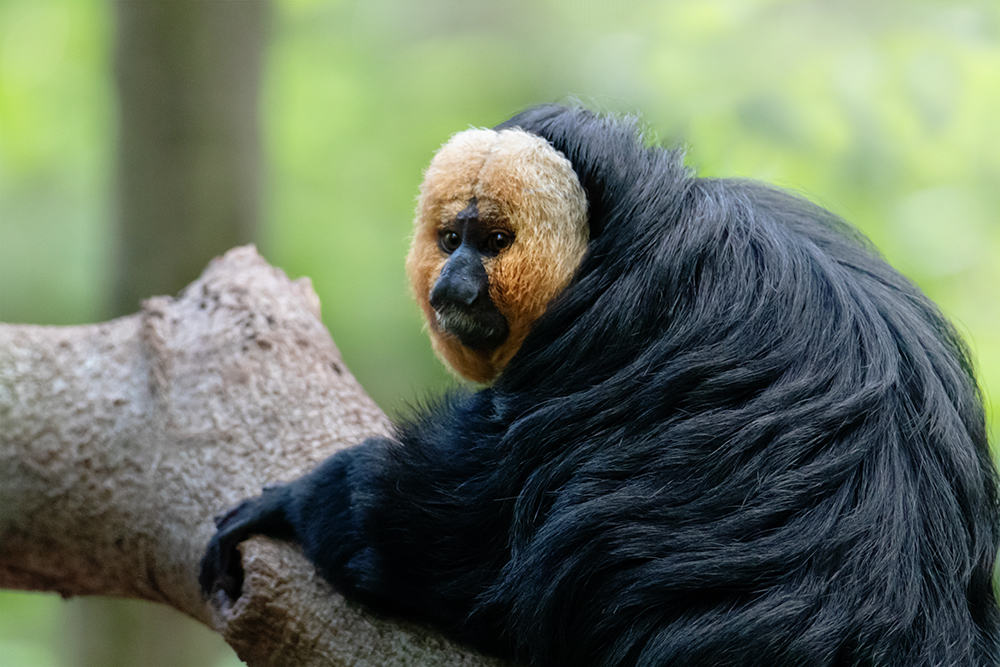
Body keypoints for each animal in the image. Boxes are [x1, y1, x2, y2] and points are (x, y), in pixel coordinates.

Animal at [199, 105, 996, 667]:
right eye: (450, 240)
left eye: (493, 242)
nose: (452, 285)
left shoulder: (597, 348)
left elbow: (444, 531)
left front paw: (293, 504)